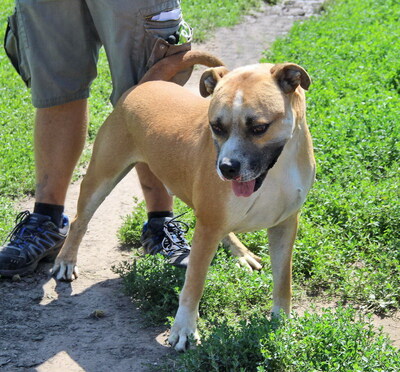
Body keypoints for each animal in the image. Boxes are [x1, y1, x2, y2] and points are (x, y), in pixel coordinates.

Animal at [52, 50, 316, 350]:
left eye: (260, 128)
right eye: (216, 126)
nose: (226, 168)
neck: (276, 170)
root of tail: (146, 83)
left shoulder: (285, 224)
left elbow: (284, 279)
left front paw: (281, 321)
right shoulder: (208, 228)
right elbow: (194, 284)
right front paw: (184, 329)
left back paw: (241, 253)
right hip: (101, 177)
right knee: (79, 221)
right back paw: (66, 260)